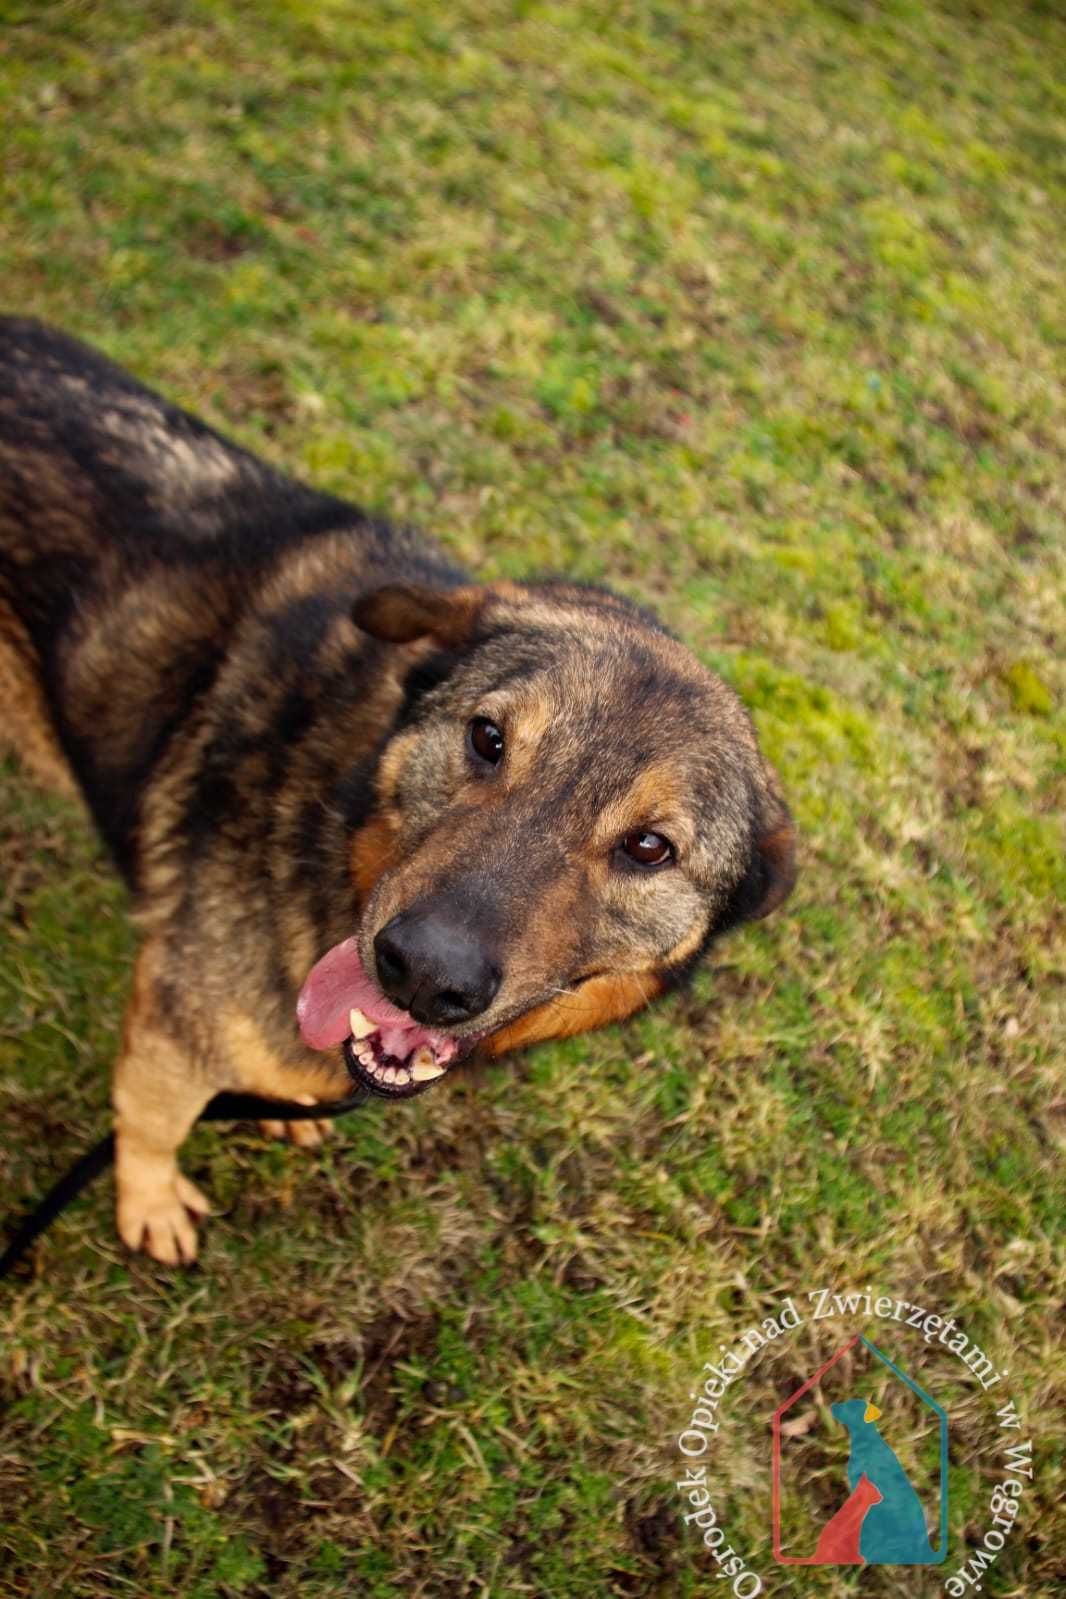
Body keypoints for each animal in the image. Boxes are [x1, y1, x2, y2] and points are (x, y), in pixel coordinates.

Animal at [0, 318, 792, 1266]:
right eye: (487, 738)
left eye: (648, 847)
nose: (421, 974)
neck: (334, 813)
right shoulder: (174, 1025)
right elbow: (151, 1117)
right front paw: (150, 1200)